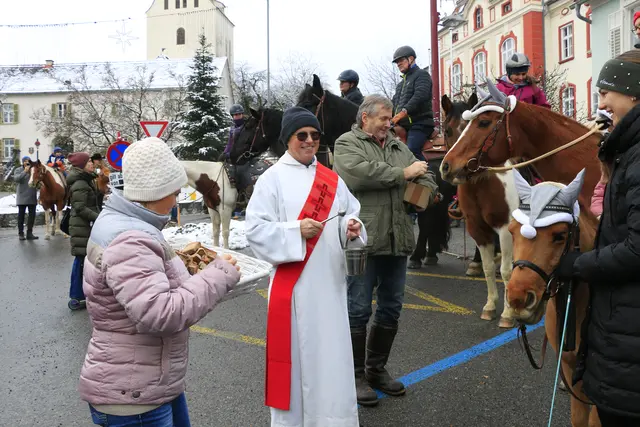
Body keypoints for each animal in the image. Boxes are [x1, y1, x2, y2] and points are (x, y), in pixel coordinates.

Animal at [441, 93, 519, 328]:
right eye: (447, 130)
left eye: (477, 126)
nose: (452, 169)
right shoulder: (477, 229)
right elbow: (487, 268)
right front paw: (490, 305)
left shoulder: (505, 230)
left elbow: (506, 271)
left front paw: (508, 313)